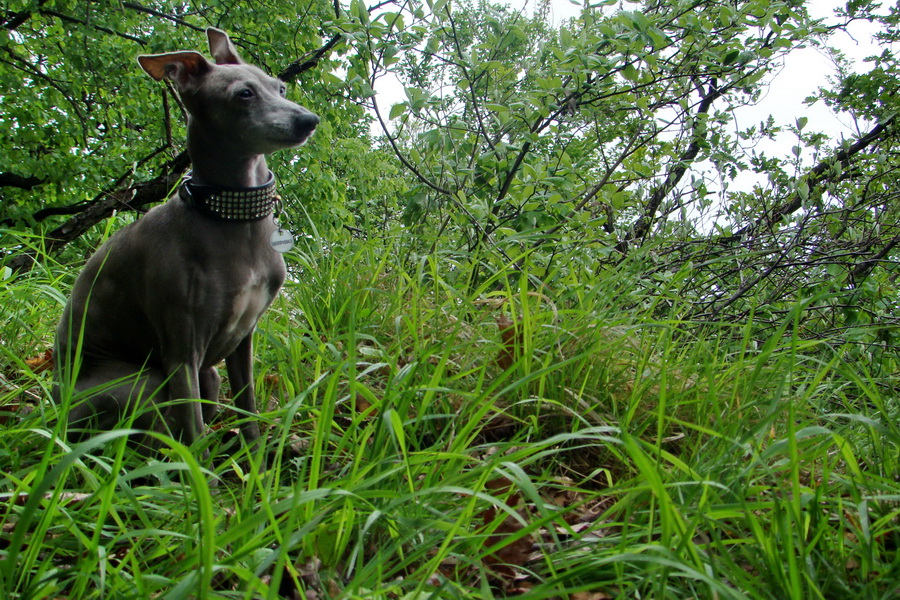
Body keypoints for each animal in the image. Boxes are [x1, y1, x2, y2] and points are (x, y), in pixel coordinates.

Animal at [53, 28, 320, 458]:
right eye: (243, 94)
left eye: (279, 86)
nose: (308, 120)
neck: (231, 215)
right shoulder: (181, 352)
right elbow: (194, 439)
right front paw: (206, 479)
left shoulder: (243, 341)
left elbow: (247, 410)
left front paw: (257, 464)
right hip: (144, 383)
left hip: (209, 375)